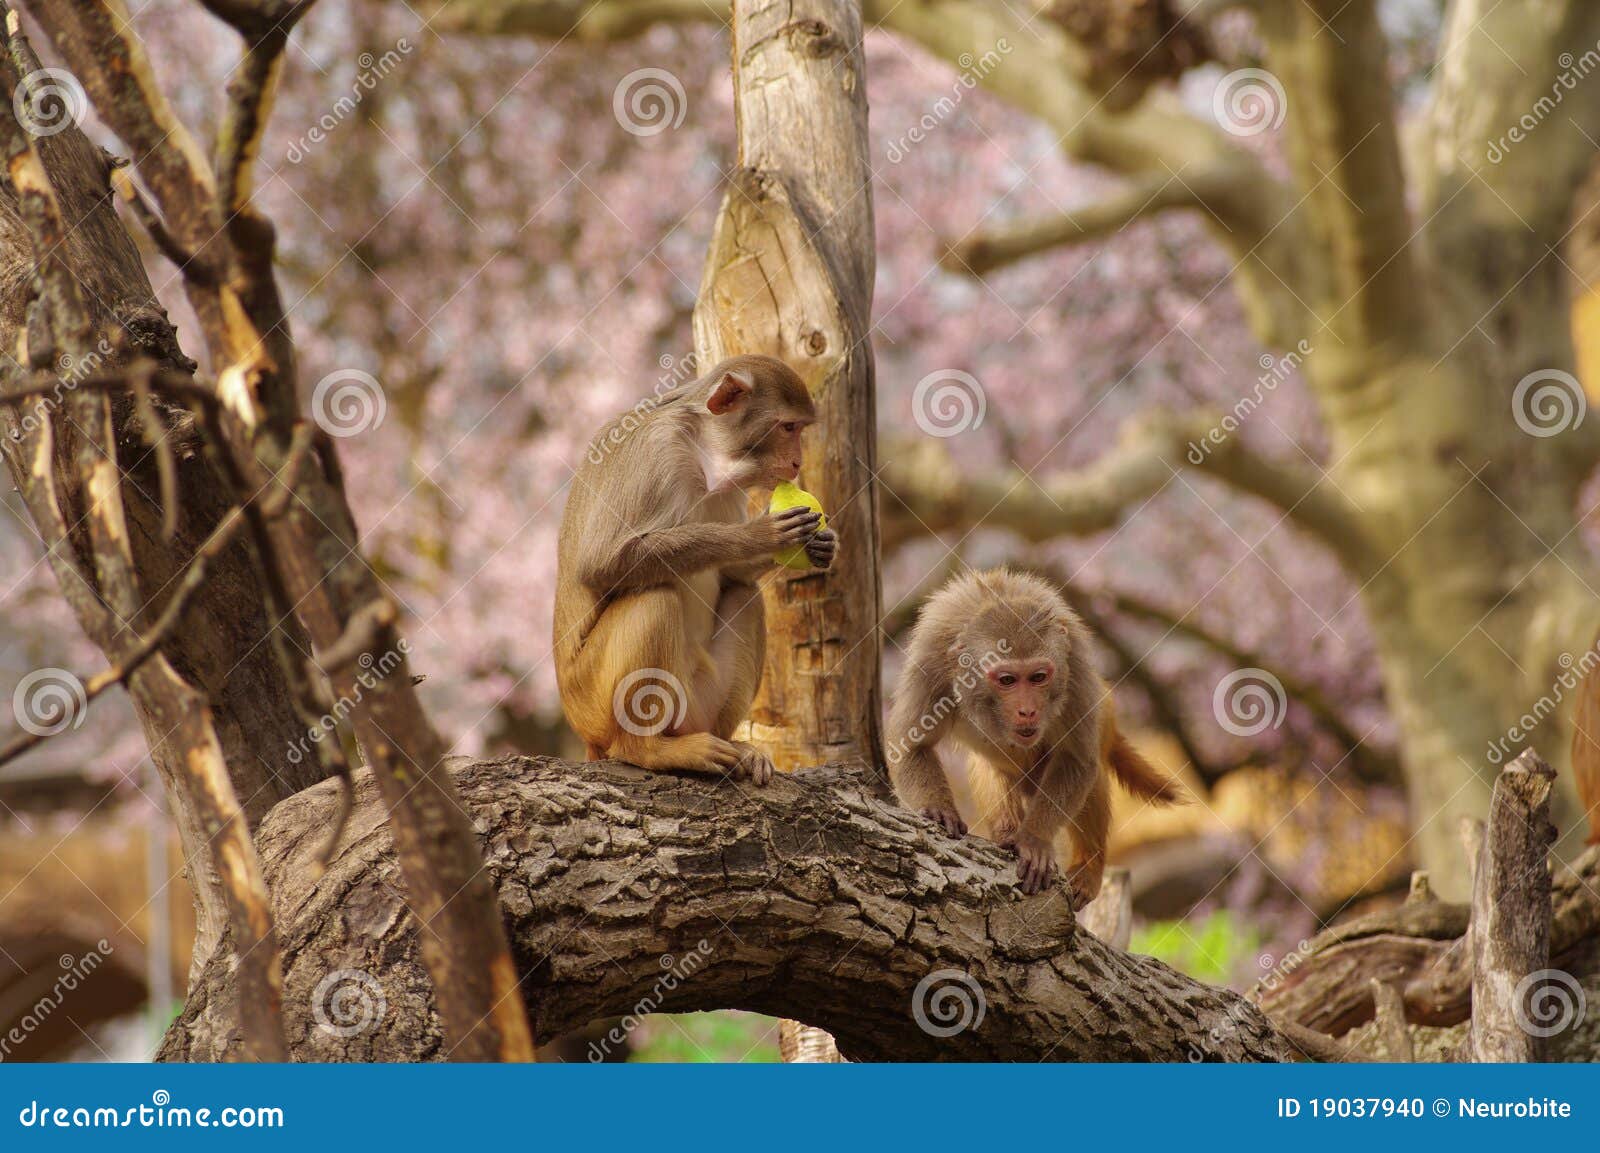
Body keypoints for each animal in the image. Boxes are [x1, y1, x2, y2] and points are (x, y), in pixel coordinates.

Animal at [554, 354, 836, 786]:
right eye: (788, 427)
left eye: (800, 429)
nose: (797, 462)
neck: (703, 450)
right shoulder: (658, 452)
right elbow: (600, 563)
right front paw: (759, 536)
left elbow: (734, 578)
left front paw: (820, 544)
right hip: (591, 704)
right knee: (653, 600)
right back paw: (648, 750)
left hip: (699, 703)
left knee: (746, 596)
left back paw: (734, 746)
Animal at [886, 568, 1182, 904]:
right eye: (1007, 680)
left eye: (1038, 677)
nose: (1027, 710)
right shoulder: (930, 666)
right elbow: (910, 746)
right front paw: (939, 808)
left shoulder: (1073, 669)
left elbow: (1076, 760)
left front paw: (1034, 839)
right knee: (992, 770)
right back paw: (1006, 833)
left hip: (1100, 711)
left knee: (1089, 769)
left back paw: (1089, 864)